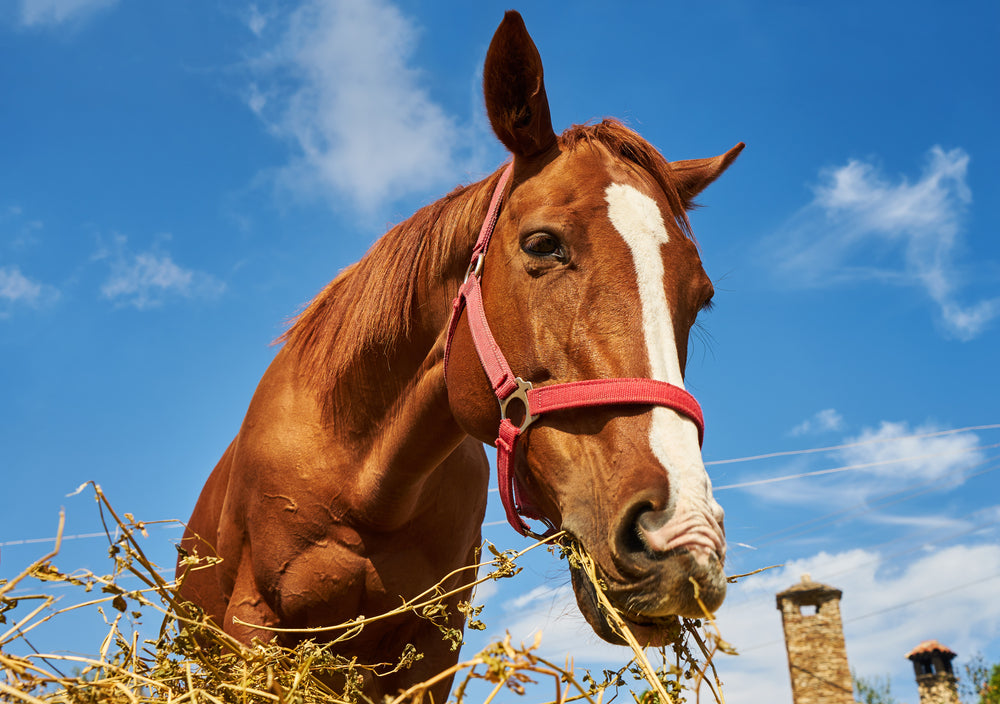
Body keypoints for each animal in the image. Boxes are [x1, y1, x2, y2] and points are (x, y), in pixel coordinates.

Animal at [178, 10, 742, 701]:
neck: (366, 485)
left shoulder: (431, 653)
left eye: (701, 296)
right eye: (542, 244)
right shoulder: (252, 628)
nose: (685, 538)